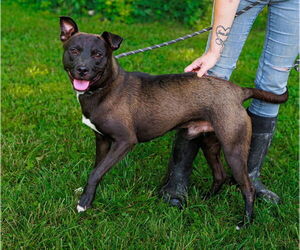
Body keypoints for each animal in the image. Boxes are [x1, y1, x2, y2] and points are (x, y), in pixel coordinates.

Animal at [59, 16, 288, 229]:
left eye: (98, 54)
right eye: (74, 51)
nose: (82, 69)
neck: (106, 87)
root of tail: (238, 90)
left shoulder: (125, 141)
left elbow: (95, 172)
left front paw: (84, 203)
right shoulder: (102, 140)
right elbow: (97, 168)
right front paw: (86, 194)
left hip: (234, 149)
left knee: (247, 188)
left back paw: (246, 222)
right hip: (209, 144)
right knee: (220, 175)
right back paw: (206, 199)